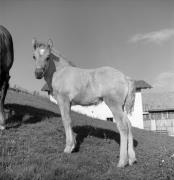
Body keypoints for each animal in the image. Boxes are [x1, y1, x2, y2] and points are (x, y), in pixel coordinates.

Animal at [32, 38, 137, 167]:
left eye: (47, 57)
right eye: (34, 56)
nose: (38, 73)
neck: (60, 73)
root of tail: (125, 77)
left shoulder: (63, 100)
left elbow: (66, 120)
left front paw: (68, 148)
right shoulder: (69, 103)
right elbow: (70, 121)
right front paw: (73, 145)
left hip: (114, 105)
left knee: (123, 127)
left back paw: (122, 162)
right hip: (121, 107)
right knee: (129, 124)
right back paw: (132, 159)